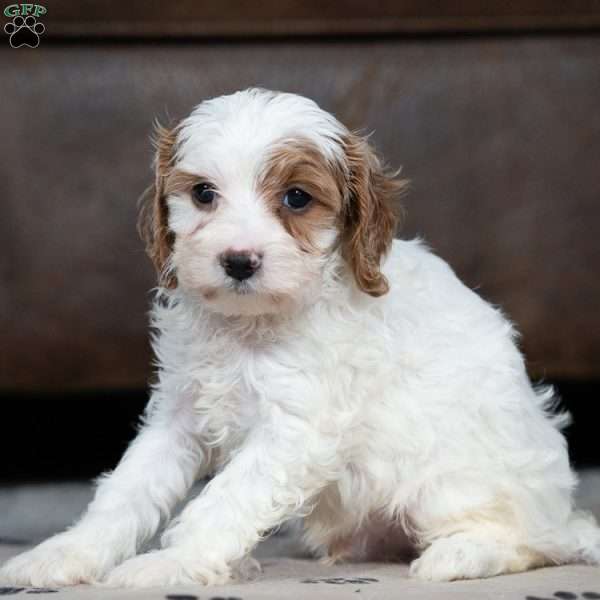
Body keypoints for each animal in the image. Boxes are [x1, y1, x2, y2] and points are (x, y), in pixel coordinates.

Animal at [2, 88, 596, 584]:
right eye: (203, 194)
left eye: (296, 198)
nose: (239, 261)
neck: (249, 325)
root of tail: (558, 510)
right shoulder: (178, 416)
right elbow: (126, 490)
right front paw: (64, 555)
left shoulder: (296, 428)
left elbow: (223, 500)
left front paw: (171, 563)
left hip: (448, 480)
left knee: (531, 541)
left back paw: (460, 555)